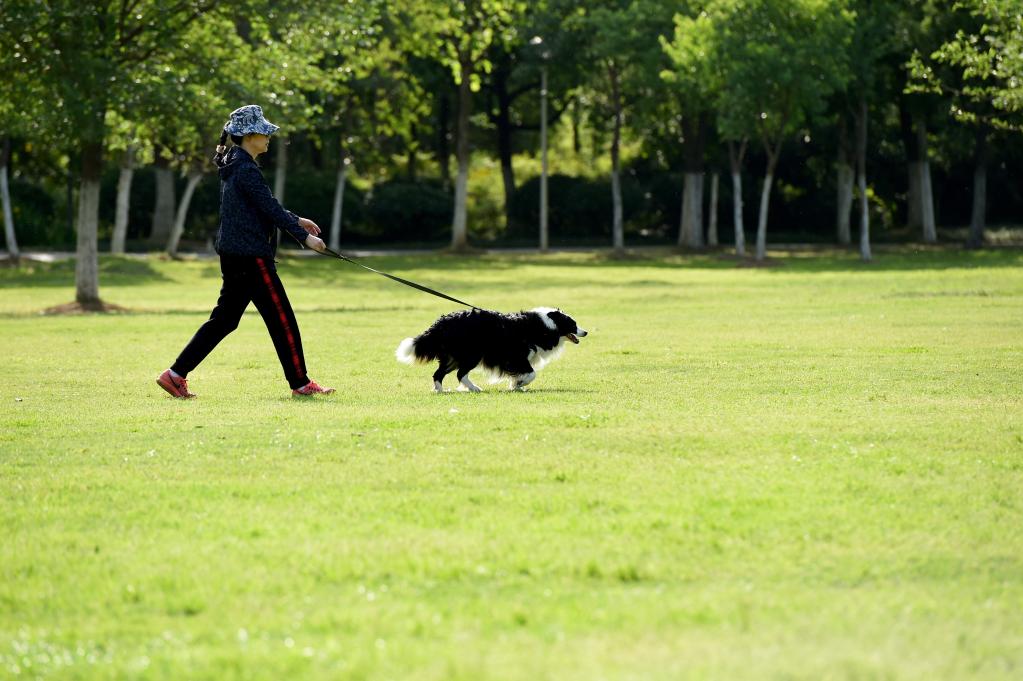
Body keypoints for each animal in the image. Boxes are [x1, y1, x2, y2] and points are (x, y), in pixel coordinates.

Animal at [394, 306, 589, 390]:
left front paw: (516, 386)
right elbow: (531, 374)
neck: (546, 325)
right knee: (460, 374)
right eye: (573, 324)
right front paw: (520, 384)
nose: (585, 332)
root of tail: (441, 323)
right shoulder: (517, 357)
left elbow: (521, 375)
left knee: (438, 374)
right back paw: (474, 389)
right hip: (471, 354)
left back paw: (440, 391)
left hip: (453, 357)